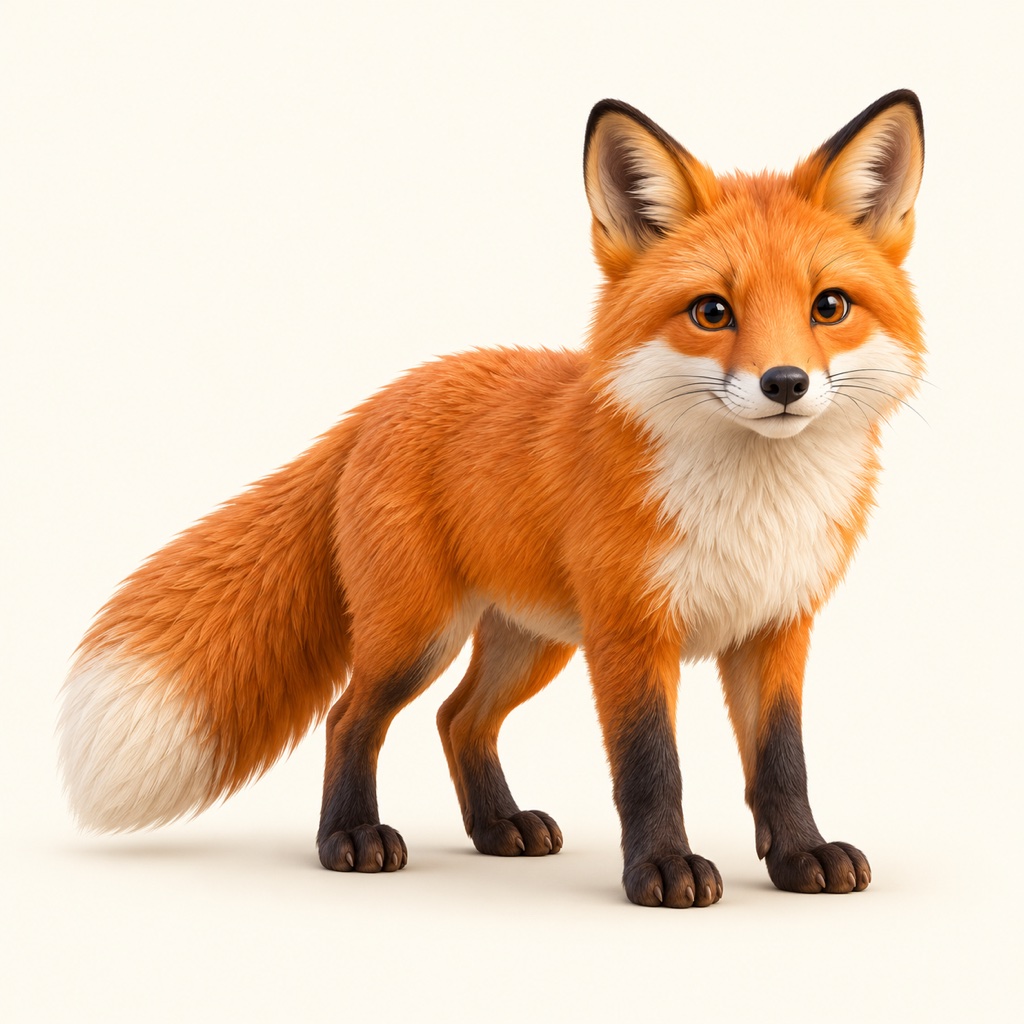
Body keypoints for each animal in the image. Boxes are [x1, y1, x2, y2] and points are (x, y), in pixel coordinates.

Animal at [59, 91, 925, 908]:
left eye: (829, 306)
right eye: (712, 311)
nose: (785, 383)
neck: (752, 508)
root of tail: (379, 402)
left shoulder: (775, 627)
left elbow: (782, 762)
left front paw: (800, 856)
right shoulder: (630, 634)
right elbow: (650, 767)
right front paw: (663, 868)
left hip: (529, 641)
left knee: (459, 718)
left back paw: (497, 826)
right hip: (418, 633)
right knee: (351, 717)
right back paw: (350, 836)